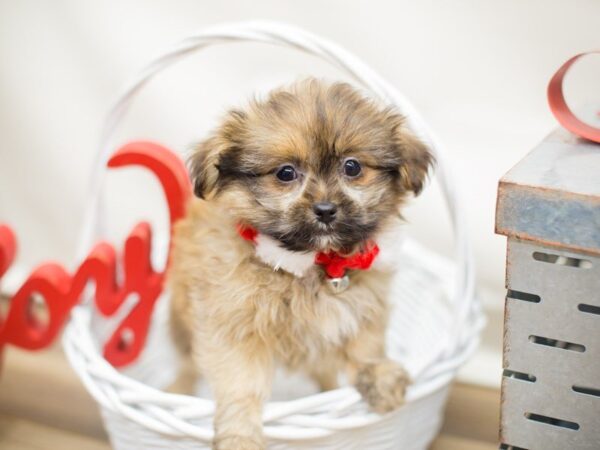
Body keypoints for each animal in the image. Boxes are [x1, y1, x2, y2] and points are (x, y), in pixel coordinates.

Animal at [166, 79, 434, 448]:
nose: (325, 210)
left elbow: (364, 345)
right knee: (187, 363)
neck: (313, 263)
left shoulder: (365, 304)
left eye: (352, 167)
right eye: (285, 173)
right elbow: (240, 383)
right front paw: (240, 434)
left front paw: (378, 375)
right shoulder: (233, 326)